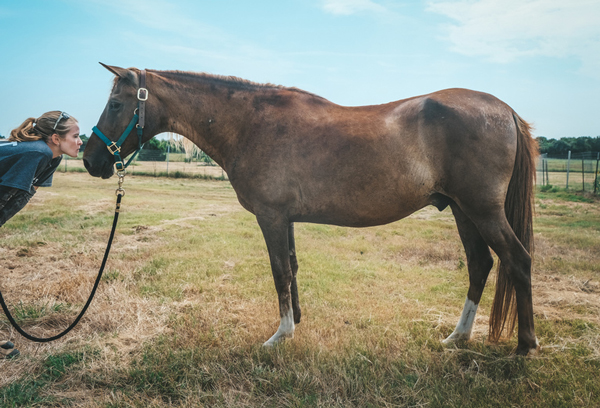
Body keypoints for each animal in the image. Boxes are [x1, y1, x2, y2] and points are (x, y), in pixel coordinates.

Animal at [81, 63, 540, 354]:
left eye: (117, 104)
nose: (90, 159)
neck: (249, 123)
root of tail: (504, 110)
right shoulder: (286, 219)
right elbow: (293, 267)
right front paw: (296, 323)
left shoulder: (271, 217)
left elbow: (279, 271)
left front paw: (279, 337)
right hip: (463, 211)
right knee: (481, 265)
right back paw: (457, 338)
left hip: (483, 211)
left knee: (517, 260)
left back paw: (524, 345)